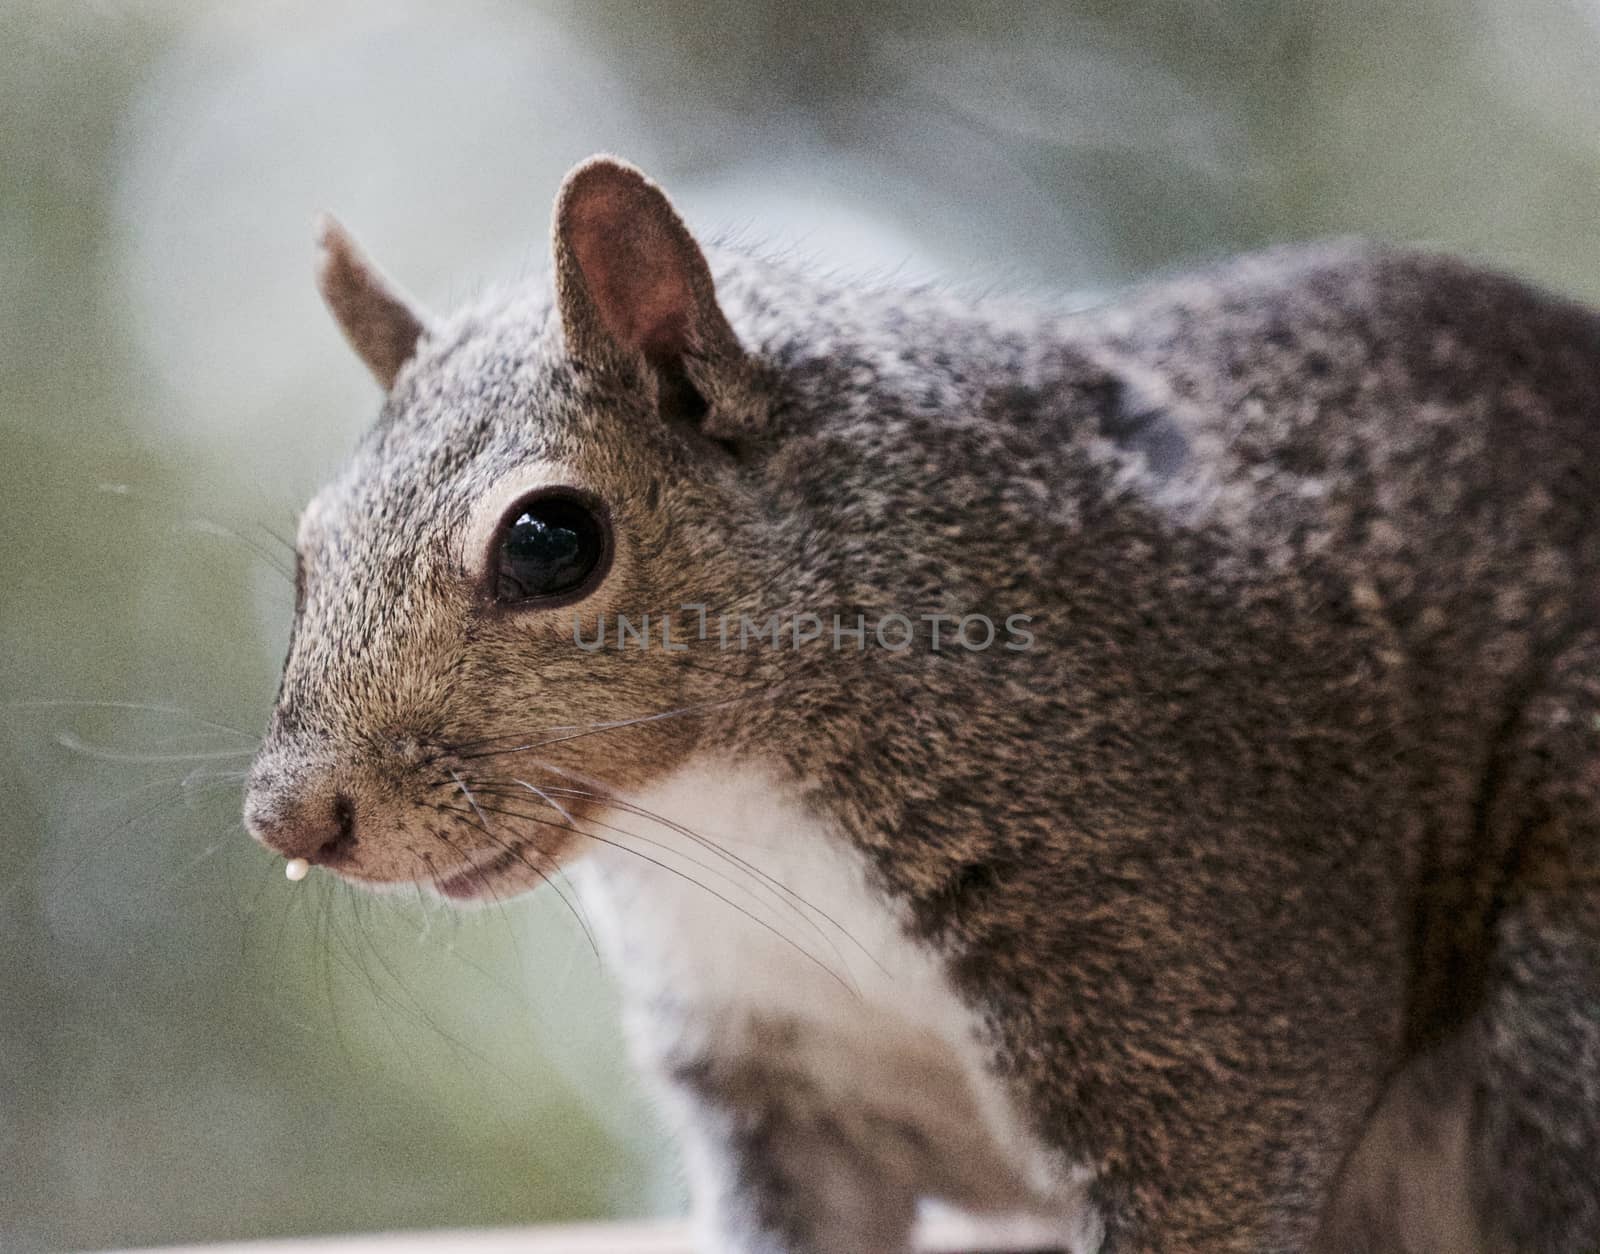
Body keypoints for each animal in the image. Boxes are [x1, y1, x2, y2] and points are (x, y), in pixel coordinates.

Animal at [243, 159, 1600, 1254]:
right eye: (306, 555)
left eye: (548, 542)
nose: (291, 818)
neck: (731, 809)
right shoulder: (781, 1079)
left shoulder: (1201, 972)